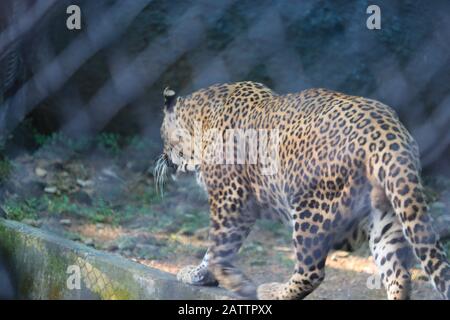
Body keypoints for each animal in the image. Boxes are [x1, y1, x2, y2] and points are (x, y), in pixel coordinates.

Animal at [156, 80, 450, 300]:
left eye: (162, 134)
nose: (163, 157)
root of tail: (388, 131)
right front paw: (200, 274)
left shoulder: (230, 199)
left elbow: (218, 249)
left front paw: (227, 280)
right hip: (387, 211)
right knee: (398, 274)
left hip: (313, 206)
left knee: (311, 273)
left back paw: (272, 292)